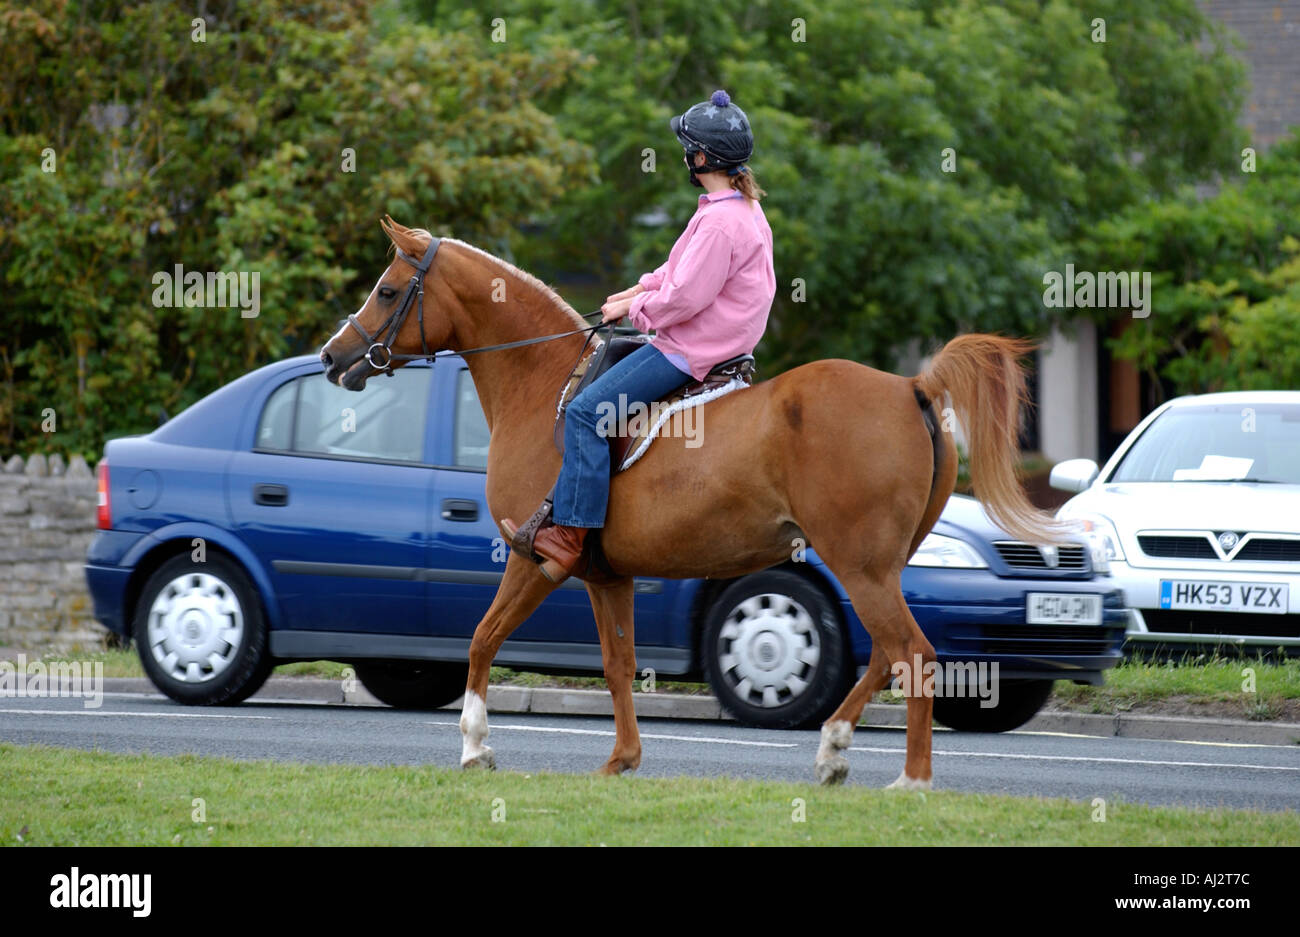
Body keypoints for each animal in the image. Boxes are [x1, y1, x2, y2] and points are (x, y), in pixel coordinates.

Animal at [319, 216, 1066, 789]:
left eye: (388, 289)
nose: (332, 357)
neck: (544, 383)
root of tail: (912, 385)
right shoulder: (607, 576)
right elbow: (618, 665)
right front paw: (622, 760)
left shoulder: (536, 561)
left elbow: (481, 638)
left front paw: (475, 745)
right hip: (878, 568)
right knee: (887, 653)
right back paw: (833, 749)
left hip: (858, 565)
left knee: (913, 653)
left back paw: (911, 778)